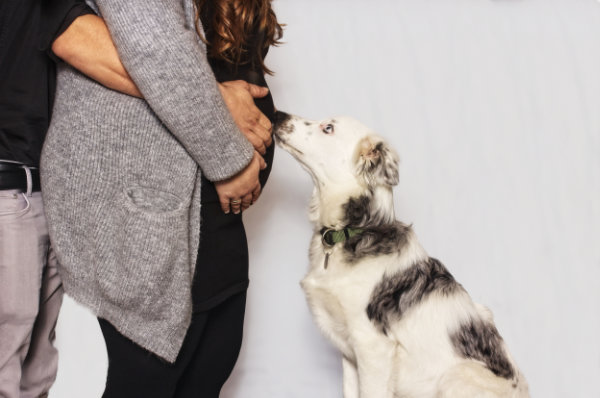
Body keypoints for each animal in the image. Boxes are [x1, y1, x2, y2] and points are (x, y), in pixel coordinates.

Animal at [274, 112, 528, 398]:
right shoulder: (349, 354)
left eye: (327, 128)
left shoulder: (372, 347)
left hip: (455, 377)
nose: (278, 114)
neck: (353, 230)